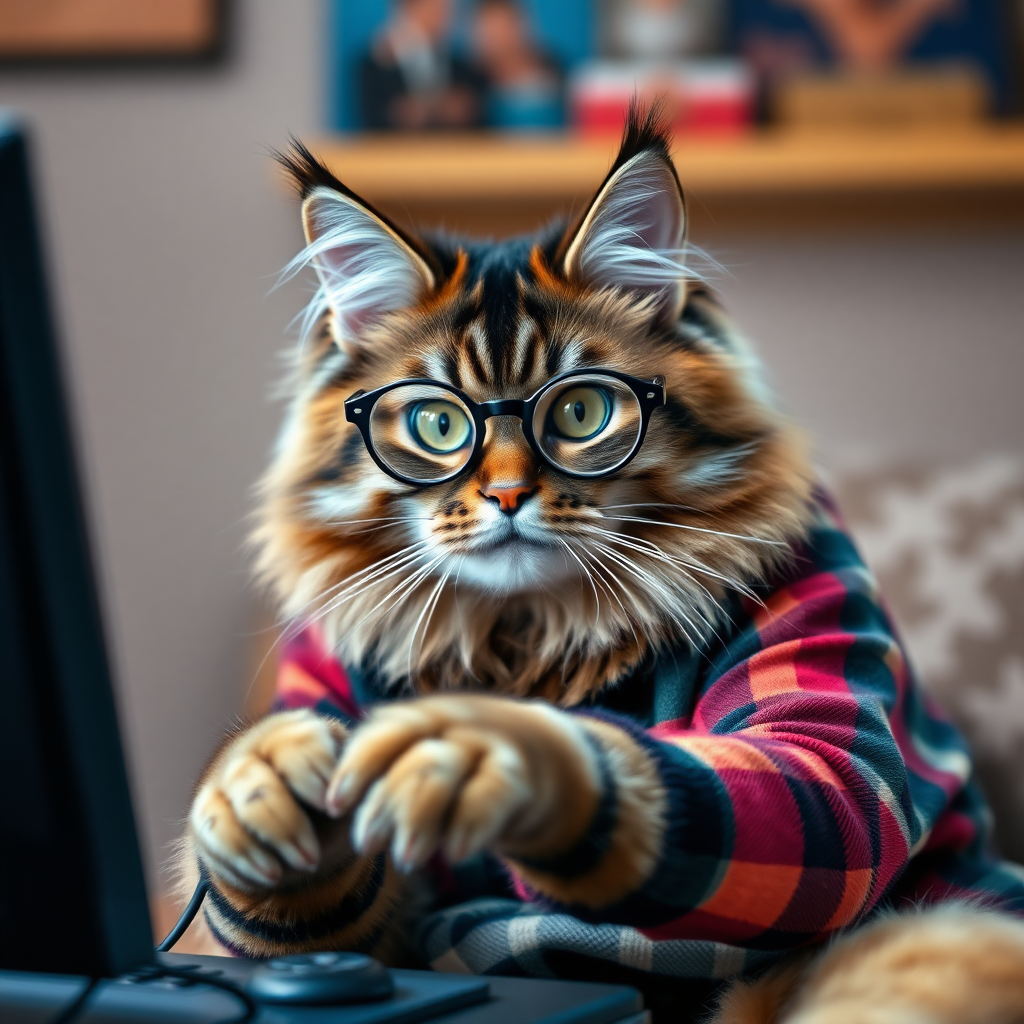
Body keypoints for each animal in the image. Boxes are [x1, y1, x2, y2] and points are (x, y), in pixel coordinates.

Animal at [180, 108, 1024, 1019]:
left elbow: (827, 797)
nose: (507, 495)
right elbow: (316, 922)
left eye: (581, 410)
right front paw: (255, 779)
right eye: (439, 425)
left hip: (925, 940)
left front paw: (499, 750)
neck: (526, 638)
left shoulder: (813, 600)